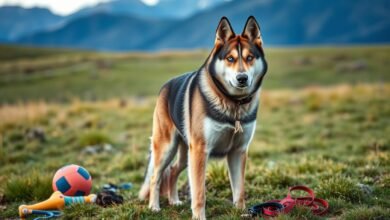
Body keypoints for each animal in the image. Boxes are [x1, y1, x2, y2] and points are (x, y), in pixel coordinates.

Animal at [139, 16, 266, 219]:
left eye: (250, 58)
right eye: (230, 58)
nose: (242, 78)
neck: (234, 103)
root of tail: (165, 86)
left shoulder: (238, 151)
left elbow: (239, 189)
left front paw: (241, 212)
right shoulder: (200, 150)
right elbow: (199, 193)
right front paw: (199, 216)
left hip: (185, 153)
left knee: (173, 170)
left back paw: (174, 201)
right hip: (168, 147)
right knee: (155, 177)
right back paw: (154, 206)